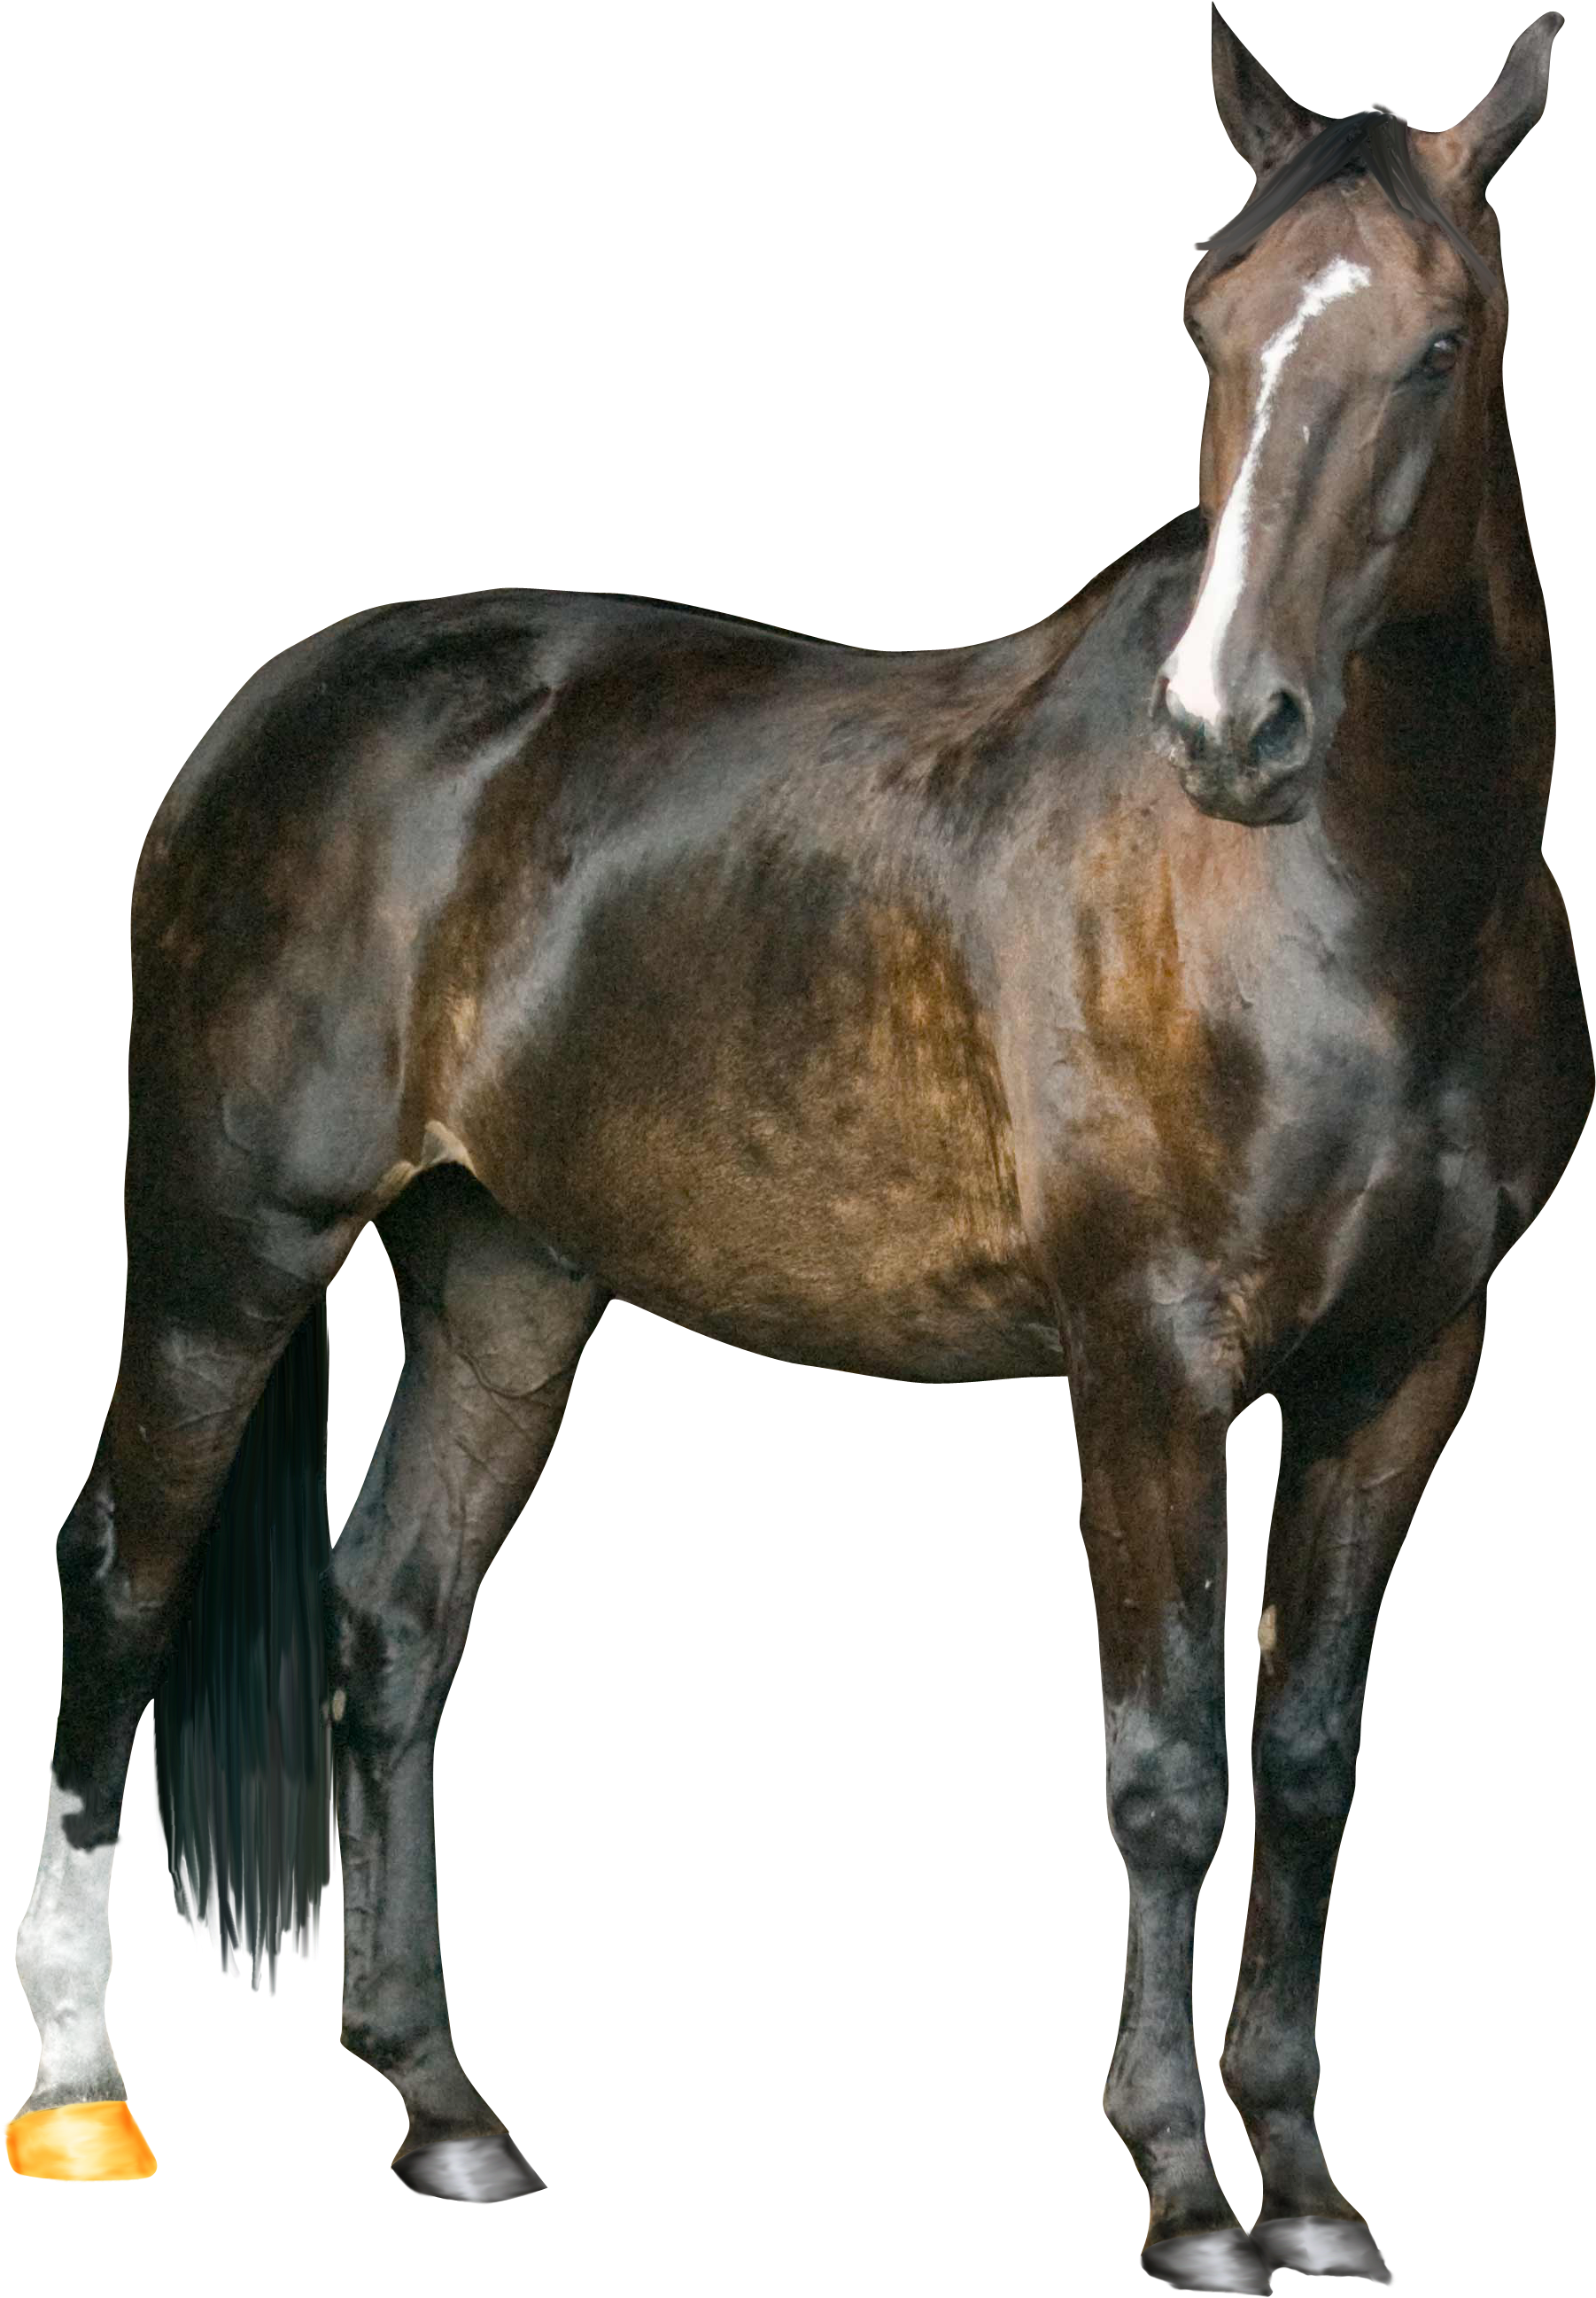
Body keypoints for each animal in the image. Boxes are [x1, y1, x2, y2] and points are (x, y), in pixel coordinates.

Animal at [7, 5, 1585, 2282]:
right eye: (1207, 316)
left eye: (1439, 338)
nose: (1229, 728)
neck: (1362, 921)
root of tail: (275, 720)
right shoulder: (1145, 1358)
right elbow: (1167, 1768)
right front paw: (1189, 2199)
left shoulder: (1404, 1369)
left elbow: (1304, 1764)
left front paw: (1309, 2188)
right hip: (228, 1245)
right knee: (120, 1572)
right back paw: (75, 2088)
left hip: (501, 1282)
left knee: (394, 1616)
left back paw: (448, 2109)